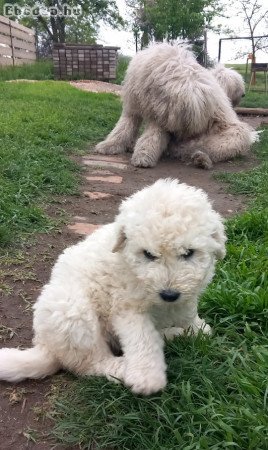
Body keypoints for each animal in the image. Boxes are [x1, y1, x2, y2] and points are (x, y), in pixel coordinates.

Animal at [0, 179, 226, 394]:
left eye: (188, 253)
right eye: (148, 254)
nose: (169, 294)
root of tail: (46, 346)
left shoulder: (186, 293)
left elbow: (187, 311)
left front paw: (198, 328)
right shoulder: (126, 307)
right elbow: (142, 338)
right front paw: (147, 377)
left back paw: (173, 334)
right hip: (73, 313)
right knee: (91, 363)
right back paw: (123, 368)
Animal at [95, 43, 256, 169]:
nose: (243, 95)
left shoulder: (161, 117)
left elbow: (152, 135)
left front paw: (143, 156)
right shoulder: (135, 107)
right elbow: (122, 128)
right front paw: (108, 146)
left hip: (233, 135)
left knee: (206, 149)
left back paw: (201, 159)